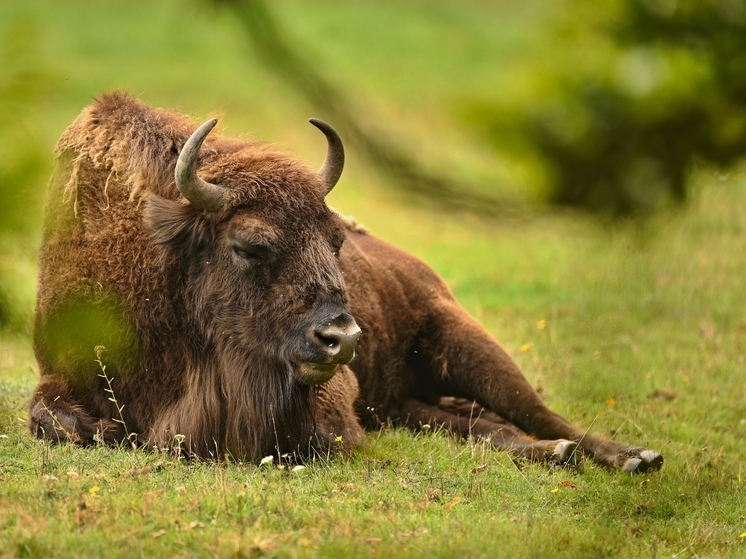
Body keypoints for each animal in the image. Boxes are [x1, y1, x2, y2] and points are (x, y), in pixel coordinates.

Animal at [29, 93, 660, 472]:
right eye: (249, 245)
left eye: (335, 239)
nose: (343, 339)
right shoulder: (58, 375)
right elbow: (58, 422)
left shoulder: (330, 404)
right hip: (405, 404)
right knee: (480, 425)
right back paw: (559, 453)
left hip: (467, 344)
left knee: (539, 413)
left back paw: (631, 456)